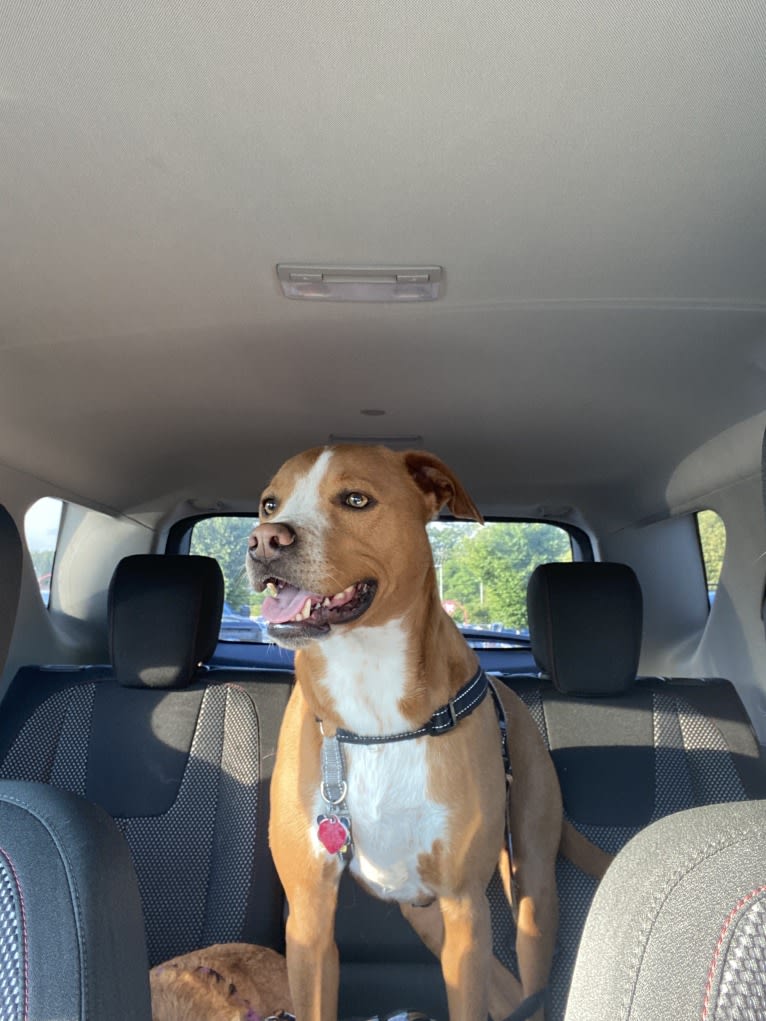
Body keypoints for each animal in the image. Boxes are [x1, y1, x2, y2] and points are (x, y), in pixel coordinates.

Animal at [246, 445, 612, 1021]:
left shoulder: (465, 907)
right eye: (268, 504)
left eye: (356, 500)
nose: (264, 540)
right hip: (421, 912)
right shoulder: (309, 916)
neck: (371, 703)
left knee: (529, 980)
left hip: (530, 888)